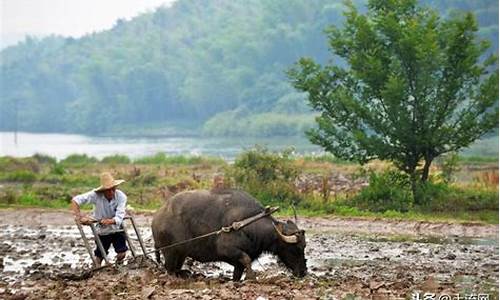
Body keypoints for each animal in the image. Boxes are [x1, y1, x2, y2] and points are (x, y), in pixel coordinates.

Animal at [150, 189, 306, 280]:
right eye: (296, 249)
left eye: (304, 247)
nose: (303, 272)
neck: (247, 225)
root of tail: (157, 217)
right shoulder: (227, 249)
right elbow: (246, 258)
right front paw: (251, 277)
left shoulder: (238, 263)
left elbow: (240, 270)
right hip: (169, 252)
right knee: (169, 269)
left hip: (181, 253)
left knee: (176, 267)